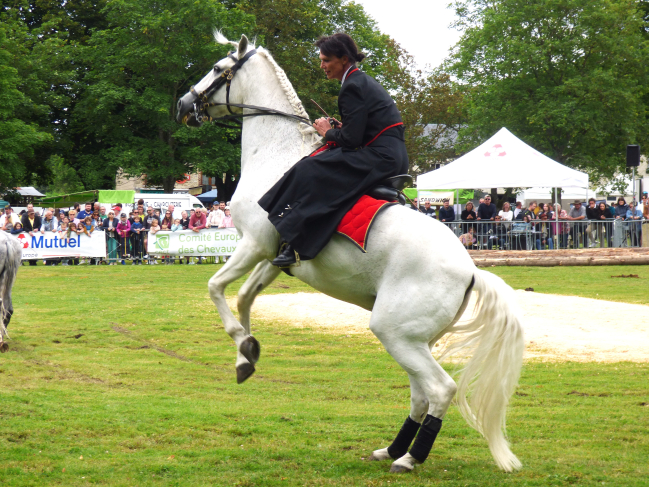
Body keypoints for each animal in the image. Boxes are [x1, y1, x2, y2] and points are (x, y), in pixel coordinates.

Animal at [177, 35, 528, 476]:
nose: (183, 104)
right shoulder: (274, 256)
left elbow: (216, 288)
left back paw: (410, 457)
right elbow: (243, 297)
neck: (276, 155)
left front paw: (242, 344)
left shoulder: (253, 243)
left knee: (440, 389)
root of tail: (470, 270)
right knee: (420, 394)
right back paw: (391, 450)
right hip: (415, 340)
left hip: (395, 333)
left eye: (218, 68)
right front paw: (247, 354)